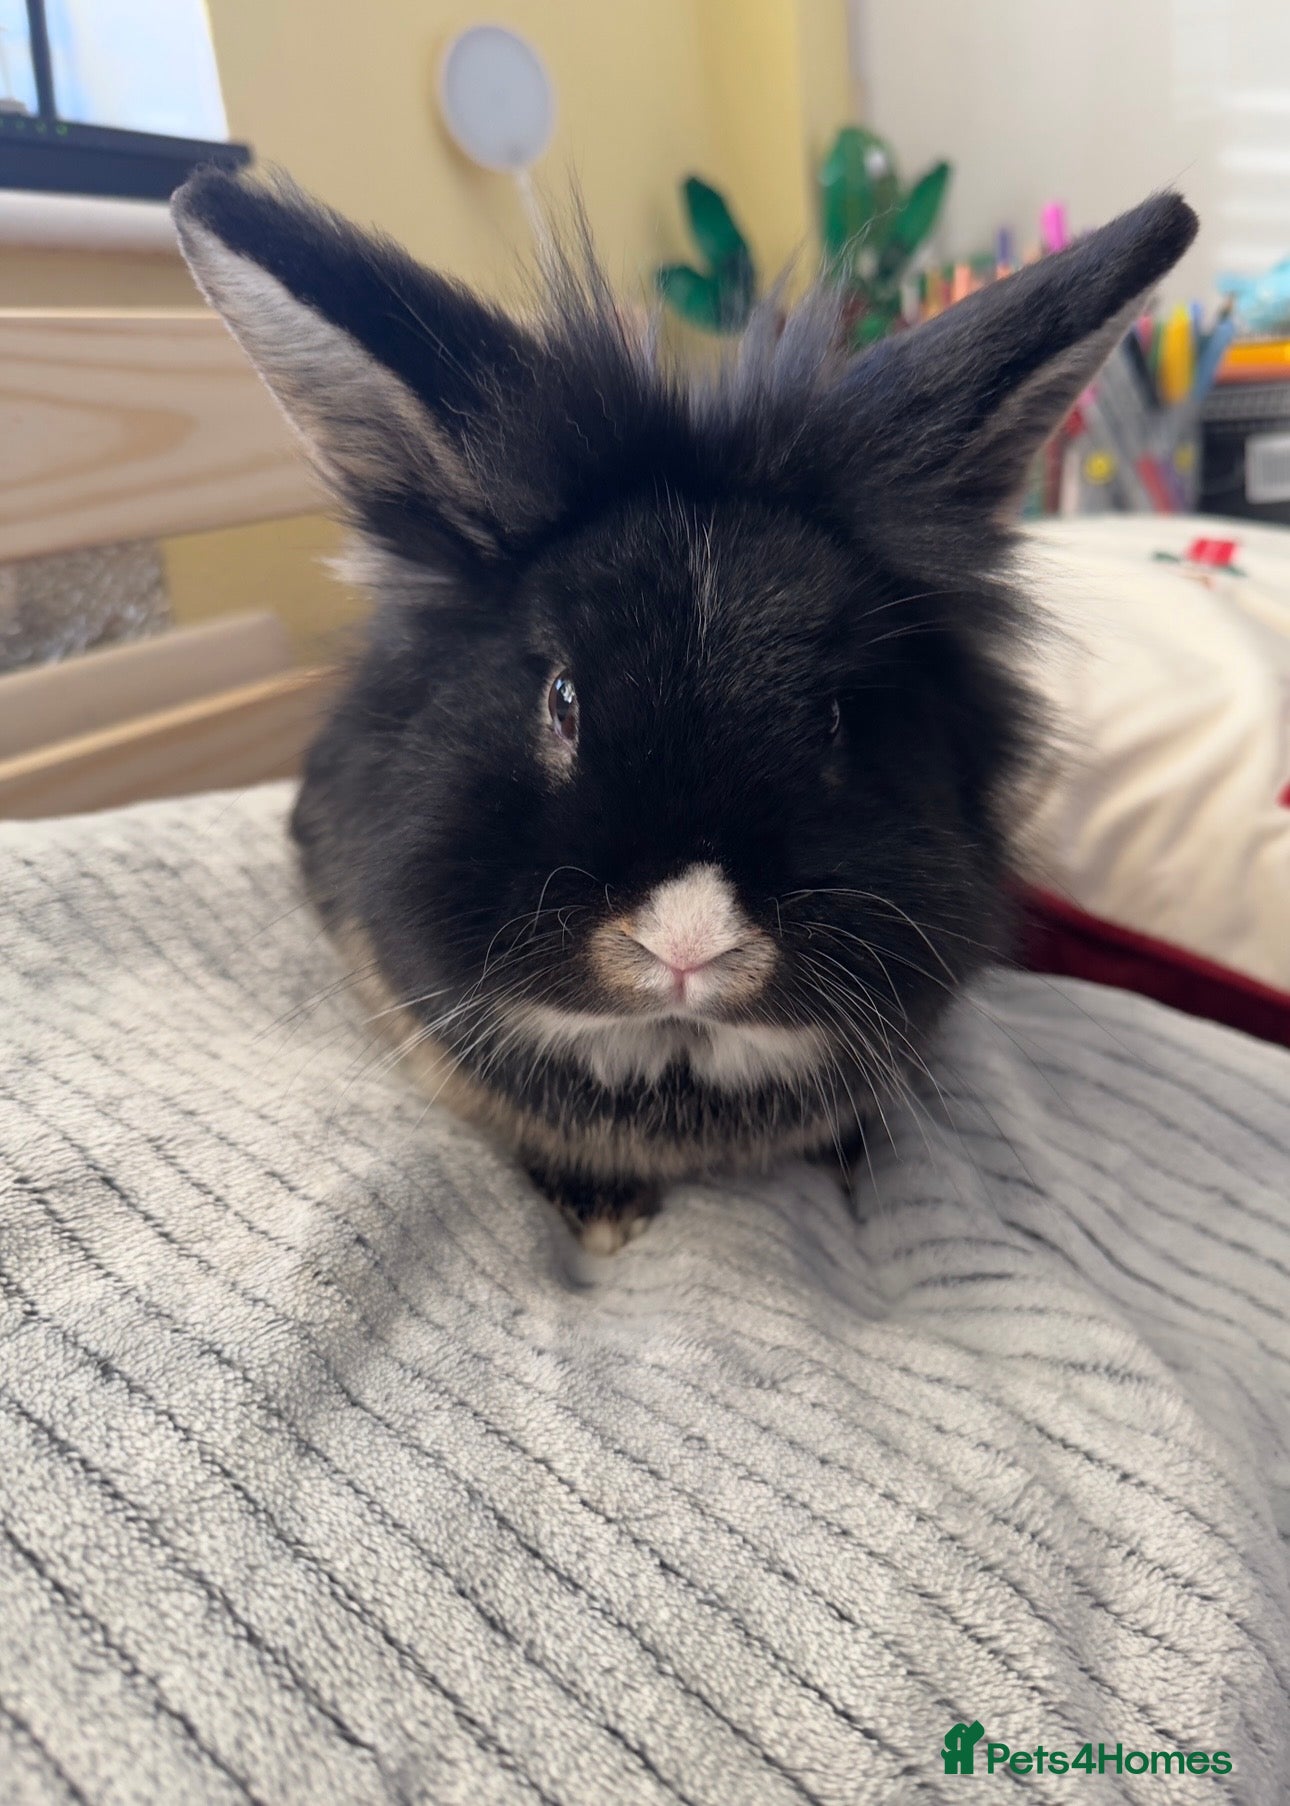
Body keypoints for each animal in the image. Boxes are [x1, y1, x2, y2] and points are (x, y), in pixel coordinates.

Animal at [172, 169, 1196, 1250]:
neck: (675, 1058)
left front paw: (850, 1164)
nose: (688, 943)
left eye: (838, 716)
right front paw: (602, 1219)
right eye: (561, 699)